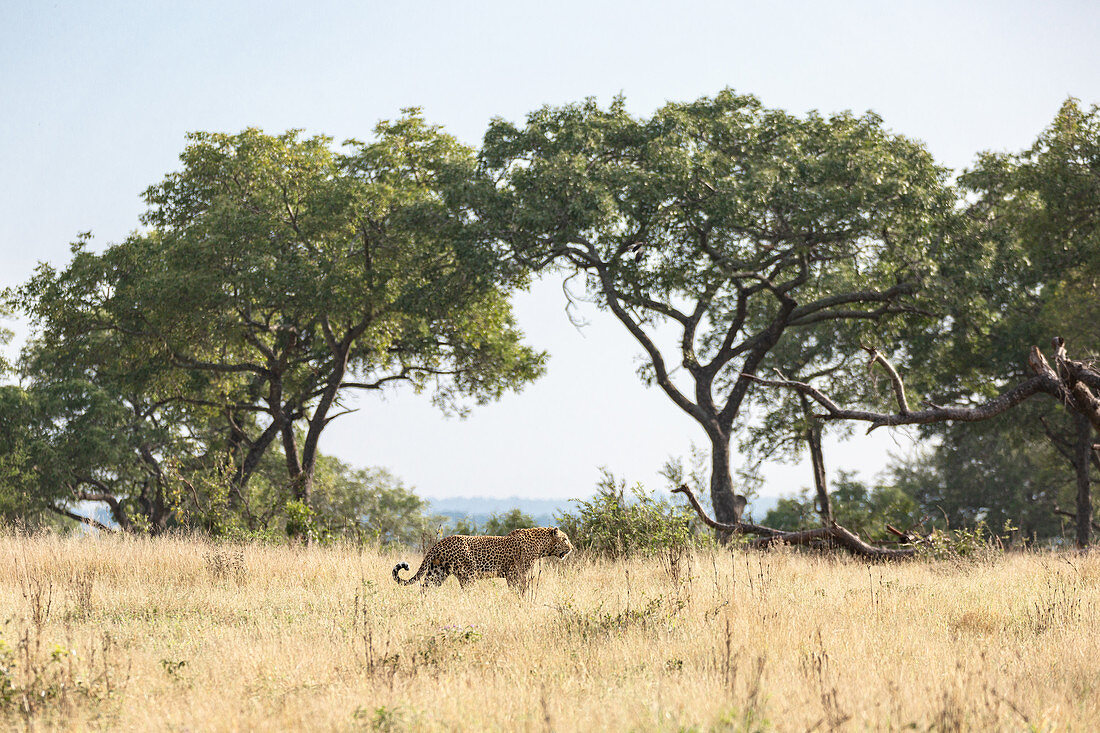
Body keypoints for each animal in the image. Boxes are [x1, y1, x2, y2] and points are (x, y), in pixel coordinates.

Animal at [391, 526, 572, 589]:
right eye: (565, 539)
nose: (571, 548)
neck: (541, 546)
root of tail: (440, 542)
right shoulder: (515, 573)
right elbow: (519, 589)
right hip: (467, 574)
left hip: (437, 571)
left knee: (425, 588)